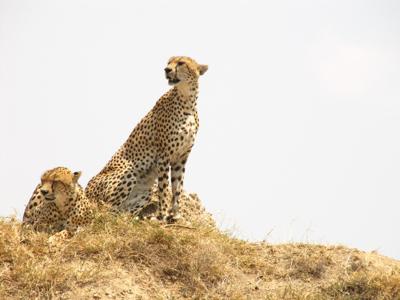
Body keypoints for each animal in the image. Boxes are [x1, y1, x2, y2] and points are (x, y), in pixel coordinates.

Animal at [86, 55, 208, 220]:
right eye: (168, 62)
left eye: (181, 63)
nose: (166, 70)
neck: (187, 99)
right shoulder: (163, 156)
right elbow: (164, 188)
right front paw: (162, 215)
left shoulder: (181, 158)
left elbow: (177, 188)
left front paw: (175, 215)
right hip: (128, 171)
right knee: (104, 211)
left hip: (145, 191)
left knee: (118, 213)